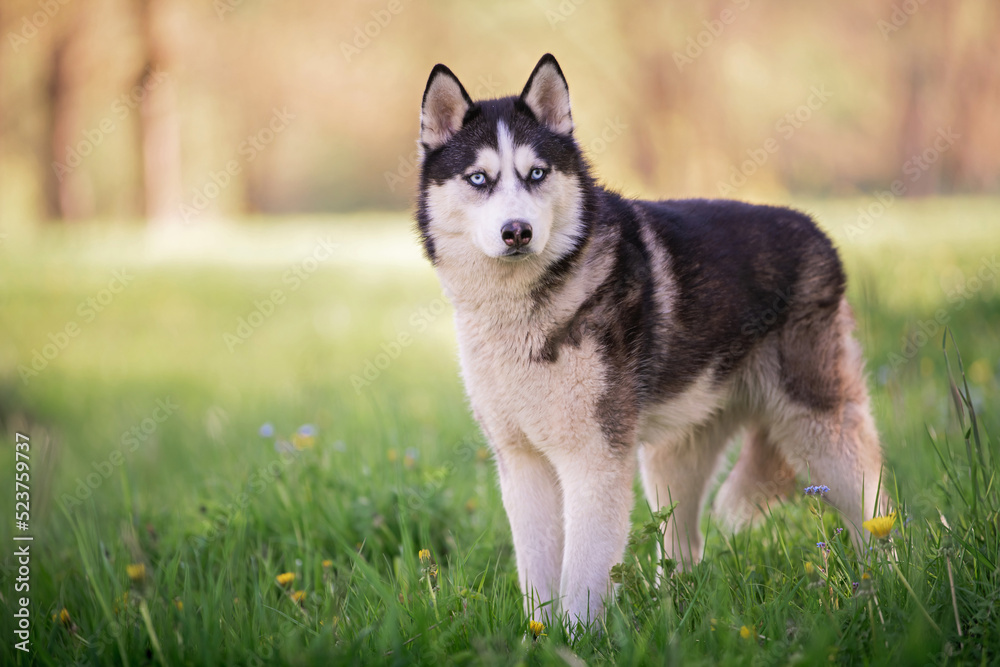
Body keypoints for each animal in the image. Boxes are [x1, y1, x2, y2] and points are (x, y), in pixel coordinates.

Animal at [418, 54, 888, 628]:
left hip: (819, 431)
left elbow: (583, 578)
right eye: (479, 178)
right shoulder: (522, 460)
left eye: (537, 174)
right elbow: (536, 575)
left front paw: (576, 637)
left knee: (875, 513)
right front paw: (539, 635)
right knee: (684, 546)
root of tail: (817, 230)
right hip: (672, 458)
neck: (523, 310)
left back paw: (886, 591)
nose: (517, 231)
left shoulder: (594, 459)